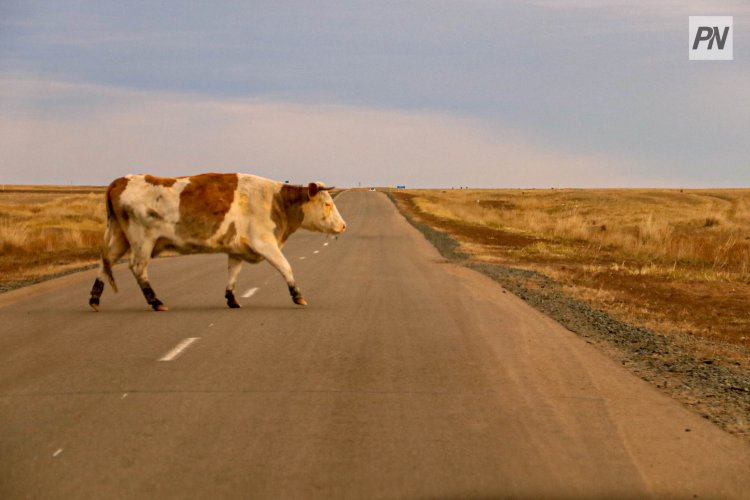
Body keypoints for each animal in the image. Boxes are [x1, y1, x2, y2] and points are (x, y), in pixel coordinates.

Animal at [89, 174, 348, 310]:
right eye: (327, 203)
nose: (343, 225)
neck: (276, 201)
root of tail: (121, 180)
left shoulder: (237, 249)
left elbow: (233, 273)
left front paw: (231, 299)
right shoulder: (265, 244)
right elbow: (286, 267)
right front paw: (297, 295)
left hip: (120, 239)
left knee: (104, 262)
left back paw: (94, 299)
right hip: (142, 242)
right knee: (138, 268)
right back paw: (155, 301)